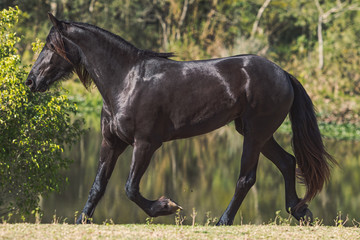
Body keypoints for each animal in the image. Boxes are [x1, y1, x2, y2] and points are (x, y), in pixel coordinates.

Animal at [26, 14, 334, 225]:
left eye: (50, 46)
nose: (31, 81)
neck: (126, 81)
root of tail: (284, 74)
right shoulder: (111, 142)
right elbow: (98, 186)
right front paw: (82, 220)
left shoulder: (146, 144)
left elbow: (130, 188)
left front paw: (166, 207)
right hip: (258, 133)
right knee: (287, 162)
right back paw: (300, 211)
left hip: (255, 134)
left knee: (246, 178)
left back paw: (223, 222)